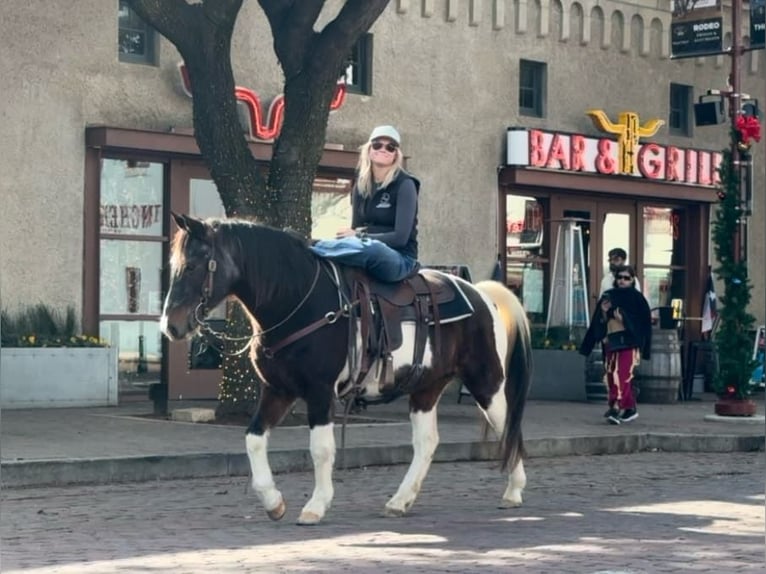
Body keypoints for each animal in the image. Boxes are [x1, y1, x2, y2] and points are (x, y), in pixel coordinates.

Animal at [160, 213, 533, 525]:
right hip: (427, 388)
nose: (170, 326)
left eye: (193, 265)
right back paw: (400, 501)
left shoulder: (319, 391)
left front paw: (315, 506)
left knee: (509, 427)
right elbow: (253, 439)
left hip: (486, 382)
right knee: (427, 442)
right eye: (174, 264)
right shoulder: (278, 390)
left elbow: (321, 449)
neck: (298, 301)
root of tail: (481, 294)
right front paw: (273, 502)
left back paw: (514, 491)